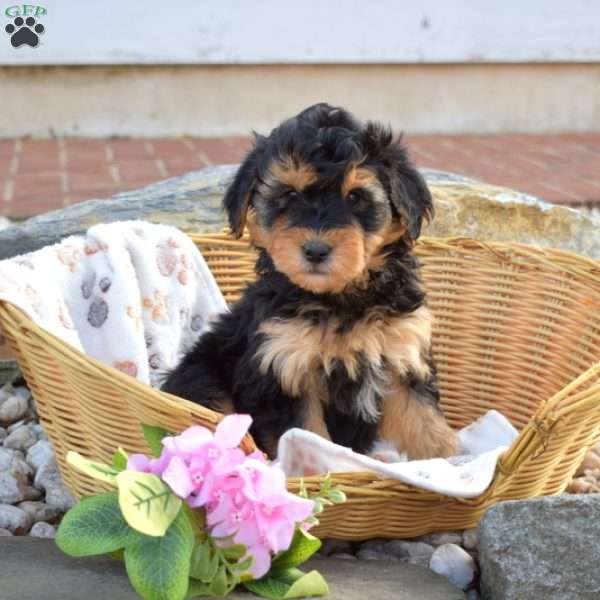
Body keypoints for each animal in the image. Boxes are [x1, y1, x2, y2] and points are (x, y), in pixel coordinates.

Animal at [162, 102, 458, 460]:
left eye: (355, 197)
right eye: (289, 194)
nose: (315, 250)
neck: (340, 298)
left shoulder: (402, 357)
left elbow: (423, 420)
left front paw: (450, 460)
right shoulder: (285, 366)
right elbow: (308, 436)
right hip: (204, 375)